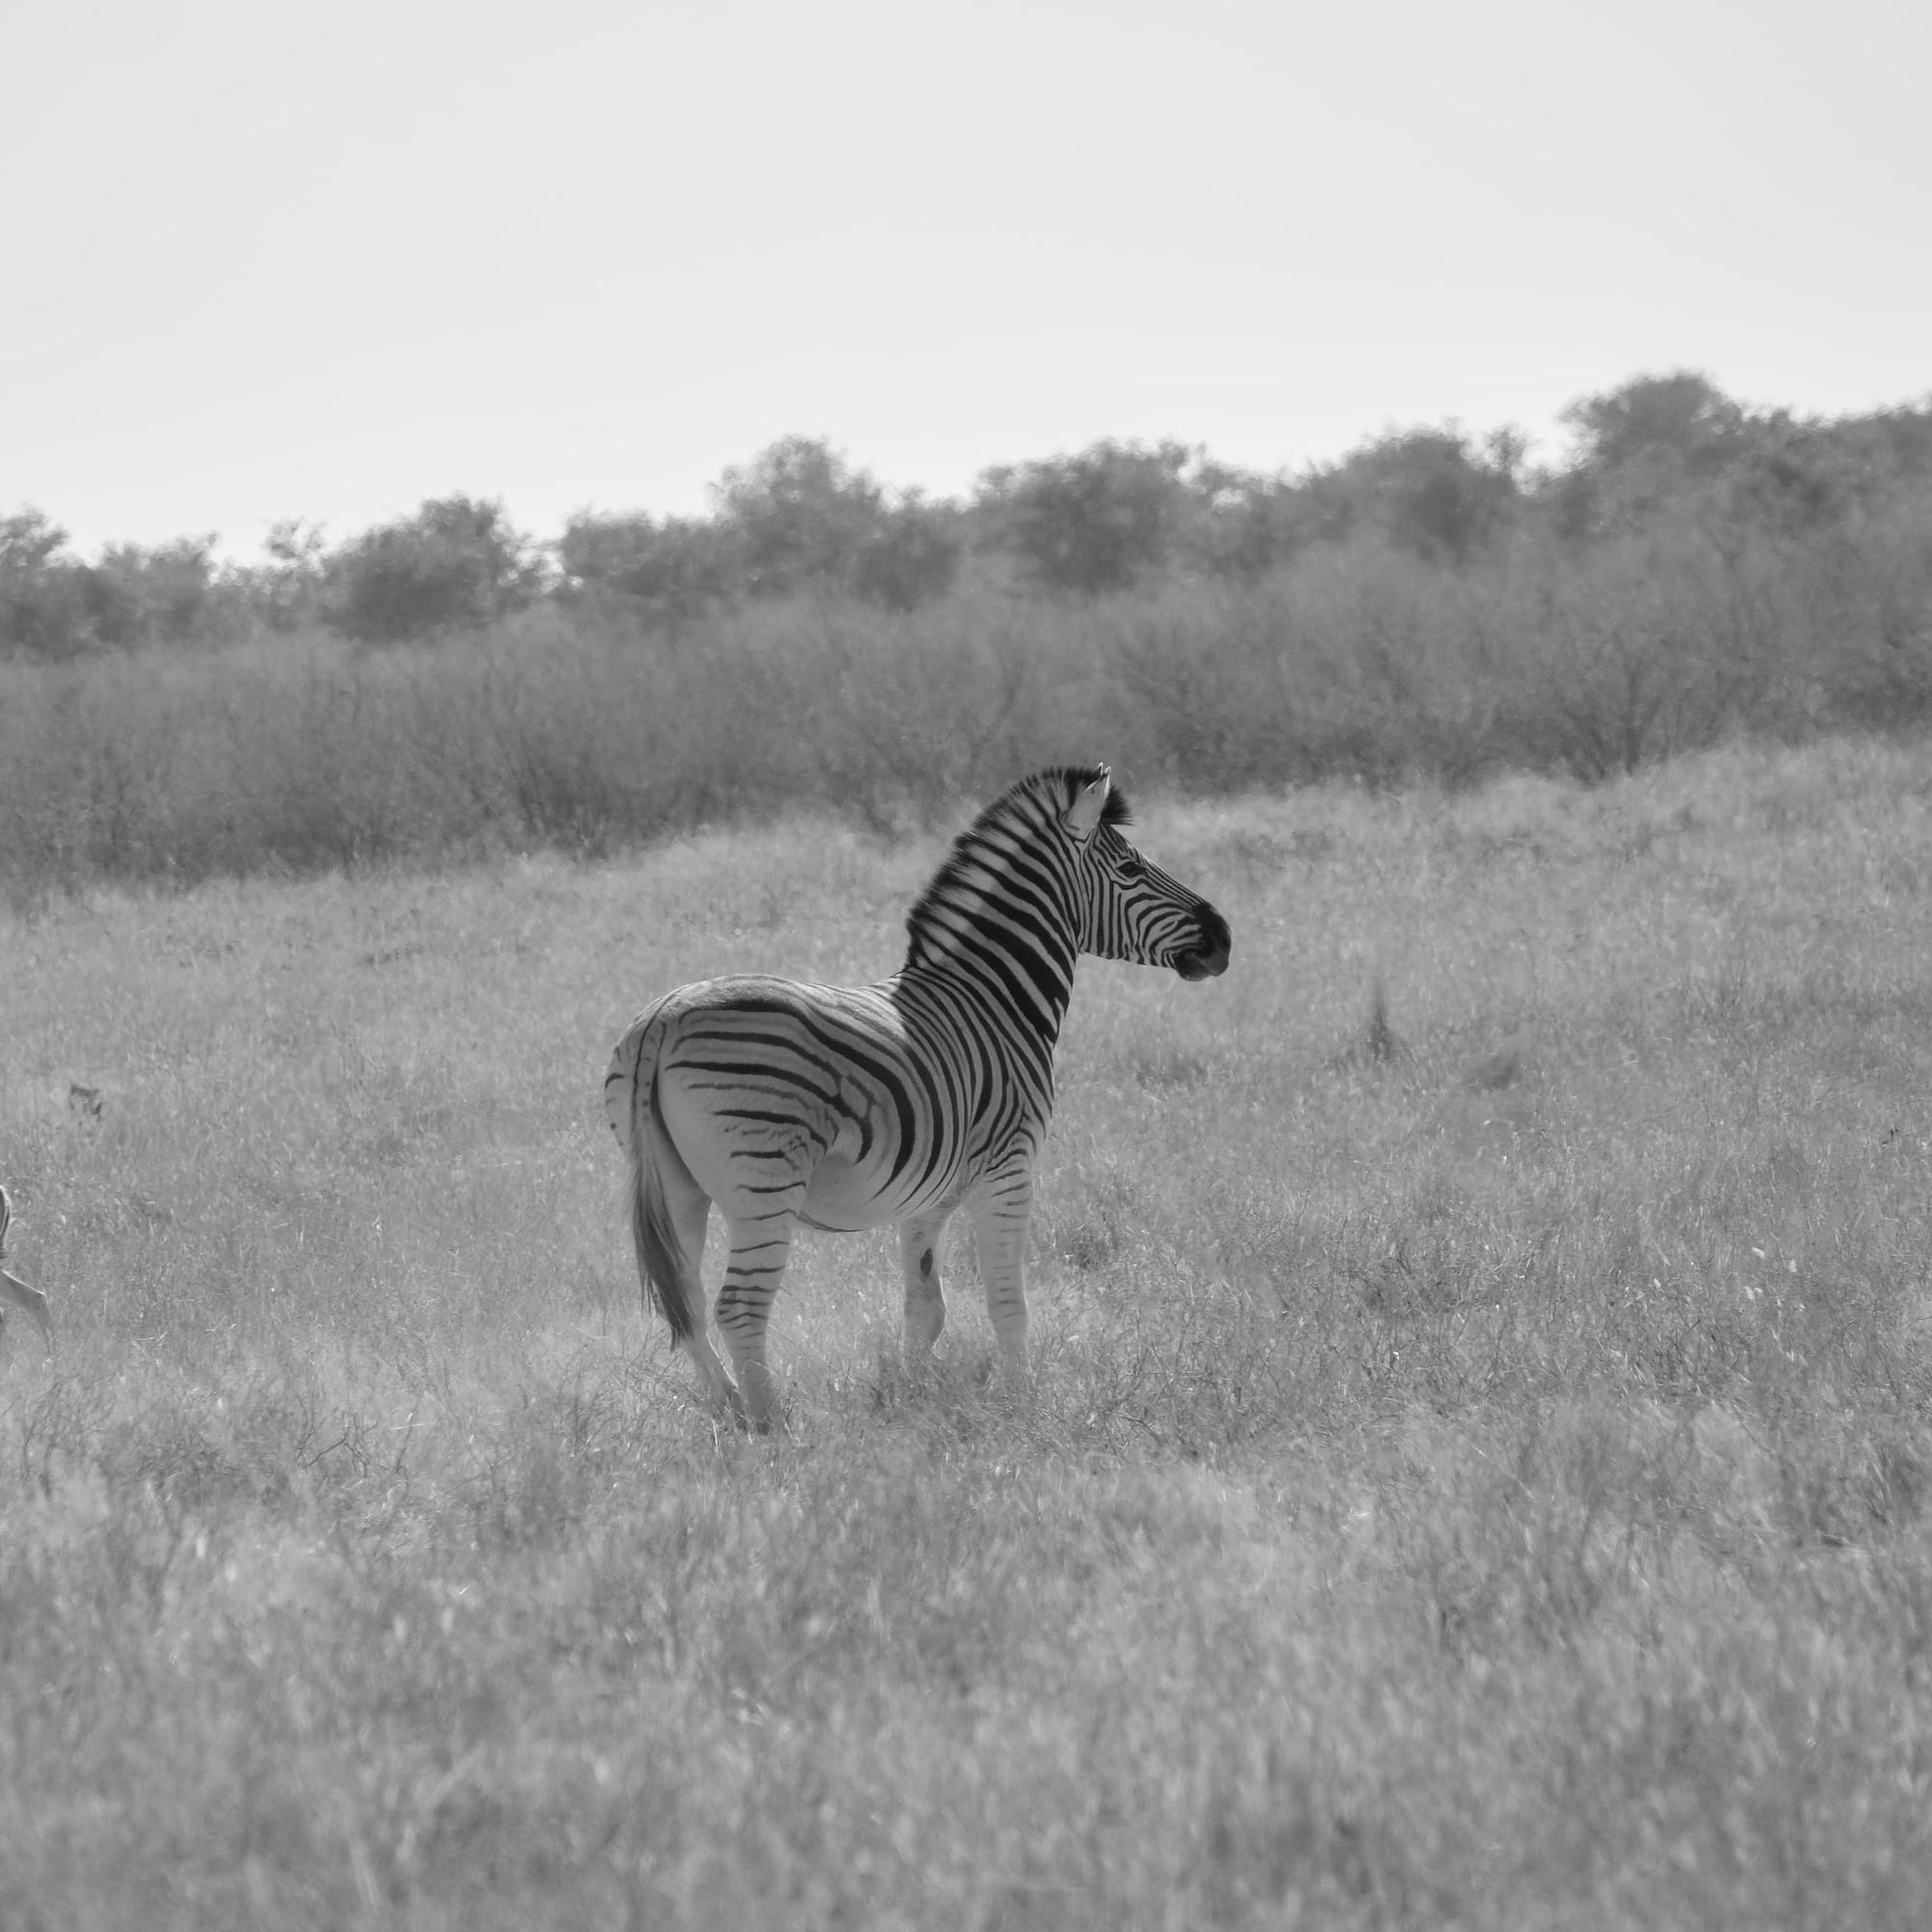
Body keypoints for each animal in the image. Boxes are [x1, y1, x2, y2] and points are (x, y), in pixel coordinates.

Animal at [604, 765, 1230, 1428]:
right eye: (1131, 869)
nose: (1224, 937)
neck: (993, 997)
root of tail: (662, 1020)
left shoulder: (928, 1194)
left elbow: (925, 1308)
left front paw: (907, 1402)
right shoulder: (1009, 1169)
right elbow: (1007, 1302)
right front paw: (1023, 1406)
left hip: (677, 1184)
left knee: (687, 1300)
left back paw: (730, 1412)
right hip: (763, 1180)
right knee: (739, 1307)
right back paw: (775, 1427)